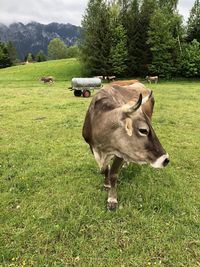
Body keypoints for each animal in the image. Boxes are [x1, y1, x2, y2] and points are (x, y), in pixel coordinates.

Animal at [82, 82, 170, 210]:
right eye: (143, 130)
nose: (166, 159)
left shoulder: (122, 151)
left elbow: (113, 174)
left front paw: (112, 199)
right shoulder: (92, 146)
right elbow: (104, 169)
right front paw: (106, 183)